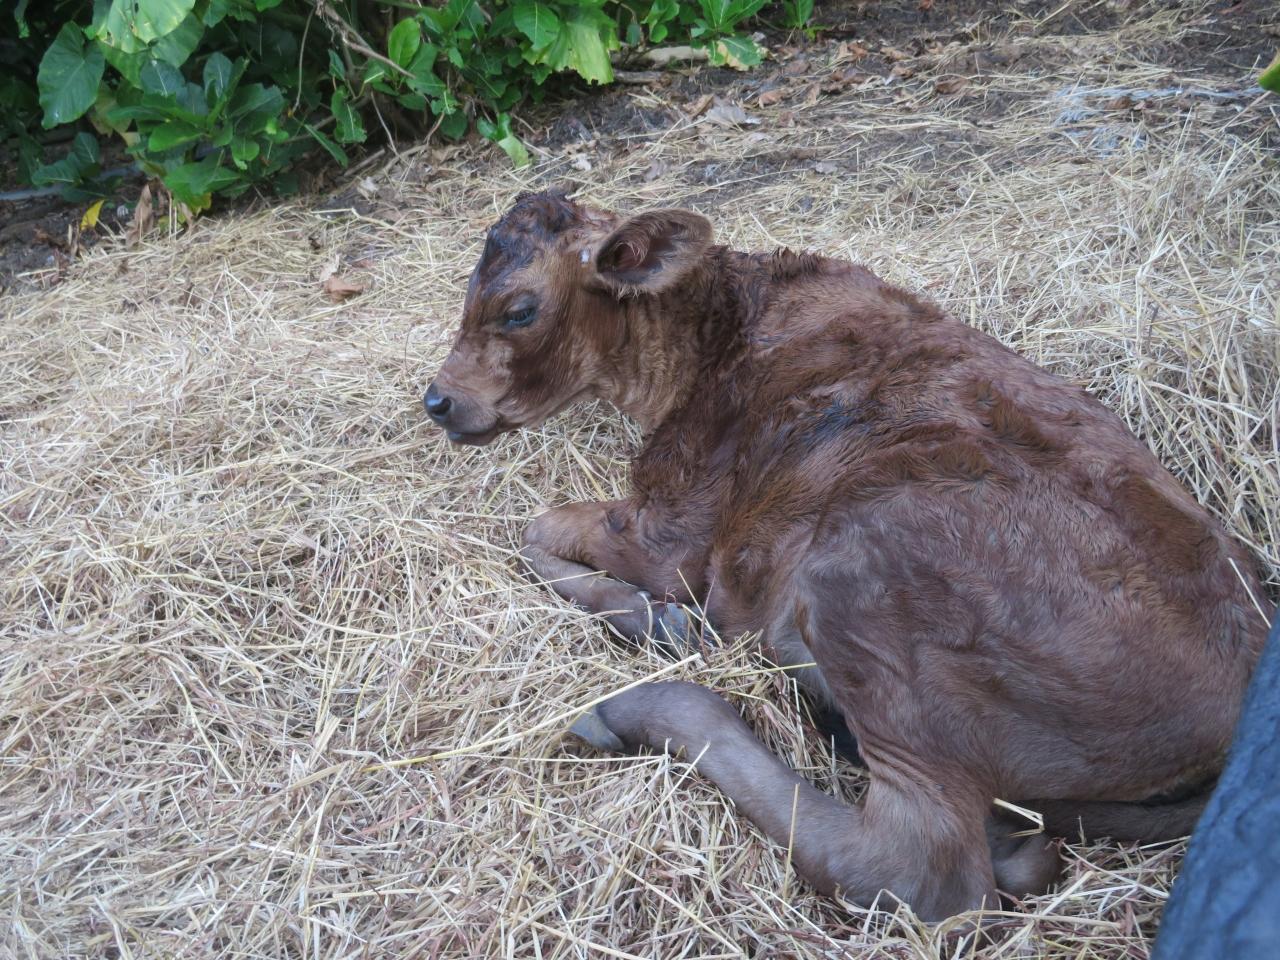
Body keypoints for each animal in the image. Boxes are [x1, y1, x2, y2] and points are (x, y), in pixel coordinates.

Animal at [422, 192, 1269, 921]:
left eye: (519, 308)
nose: (438, 401)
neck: (709, 336)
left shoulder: (673, 528)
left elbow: (536, 531)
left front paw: (663, 624)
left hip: (867, 581)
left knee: (918, 873)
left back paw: (640, 705)